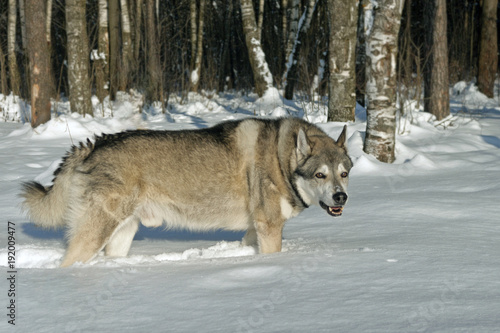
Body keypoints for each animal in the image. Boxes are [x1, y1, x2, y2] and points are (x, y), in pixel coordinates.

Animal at [21, 118, 354, 266]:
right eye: (320, 174)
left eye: (344, 174)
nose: (341, 197)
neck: (280, 159)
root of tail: (94, 144)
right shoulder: (270, 227)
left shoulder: (255, 230)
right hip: (96, 232)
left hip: (122, 234)